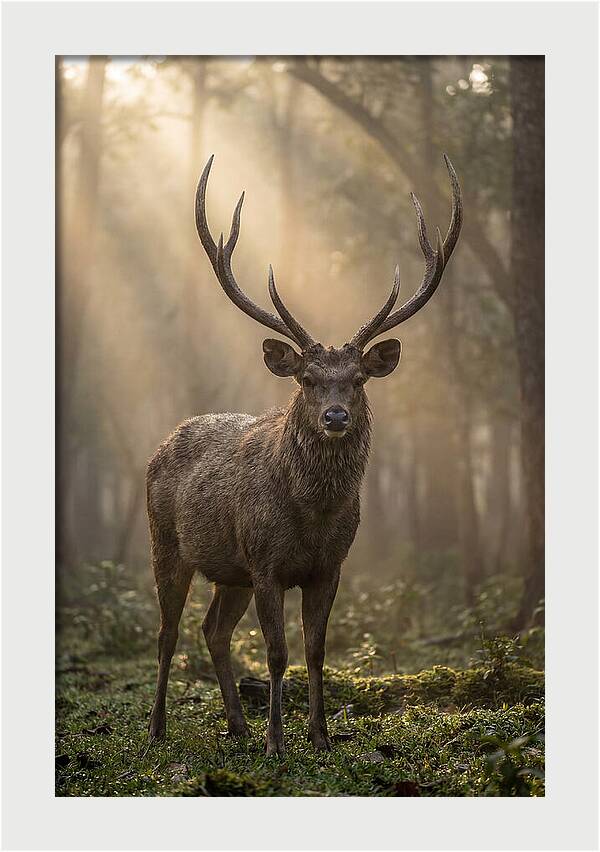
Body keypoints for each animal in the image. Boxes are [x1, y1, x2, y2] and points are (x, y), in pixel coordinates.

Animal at [147, 154, 462, 755]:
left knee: (213, 630)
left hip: (230, 571)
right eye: (309, 379)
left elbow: (316, 650)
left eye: (358, 379)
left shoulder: (329, 566)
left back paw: (237, 725)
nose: (335, 417)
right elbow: (277, 653)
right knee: (168, 631)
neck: (311, 516)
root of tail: (162, 442)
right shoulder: (266, 562)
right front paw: (277, 742)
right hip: (167, 543)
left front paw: (318, 735)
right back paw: (156, 729)